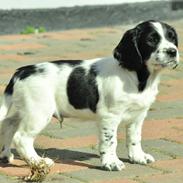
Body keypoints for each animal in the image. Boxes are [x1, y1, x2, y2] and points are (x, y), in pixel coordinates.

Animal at [0, 20, 179, 172]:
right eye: (151, 40)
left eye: (172, 38)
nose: (173, 51)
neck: (137, 77)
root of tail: (21, 72)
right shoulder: (110, 116)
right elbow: (110, 141)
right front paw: (111, 163)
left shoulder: (138, 115)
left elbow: (135, 138)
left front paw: (138, 157)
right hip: (39, 112)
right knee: (21, 137)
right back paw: (38, 162)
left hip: (24, 110)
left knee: (8, 125)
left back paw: (6, 155)